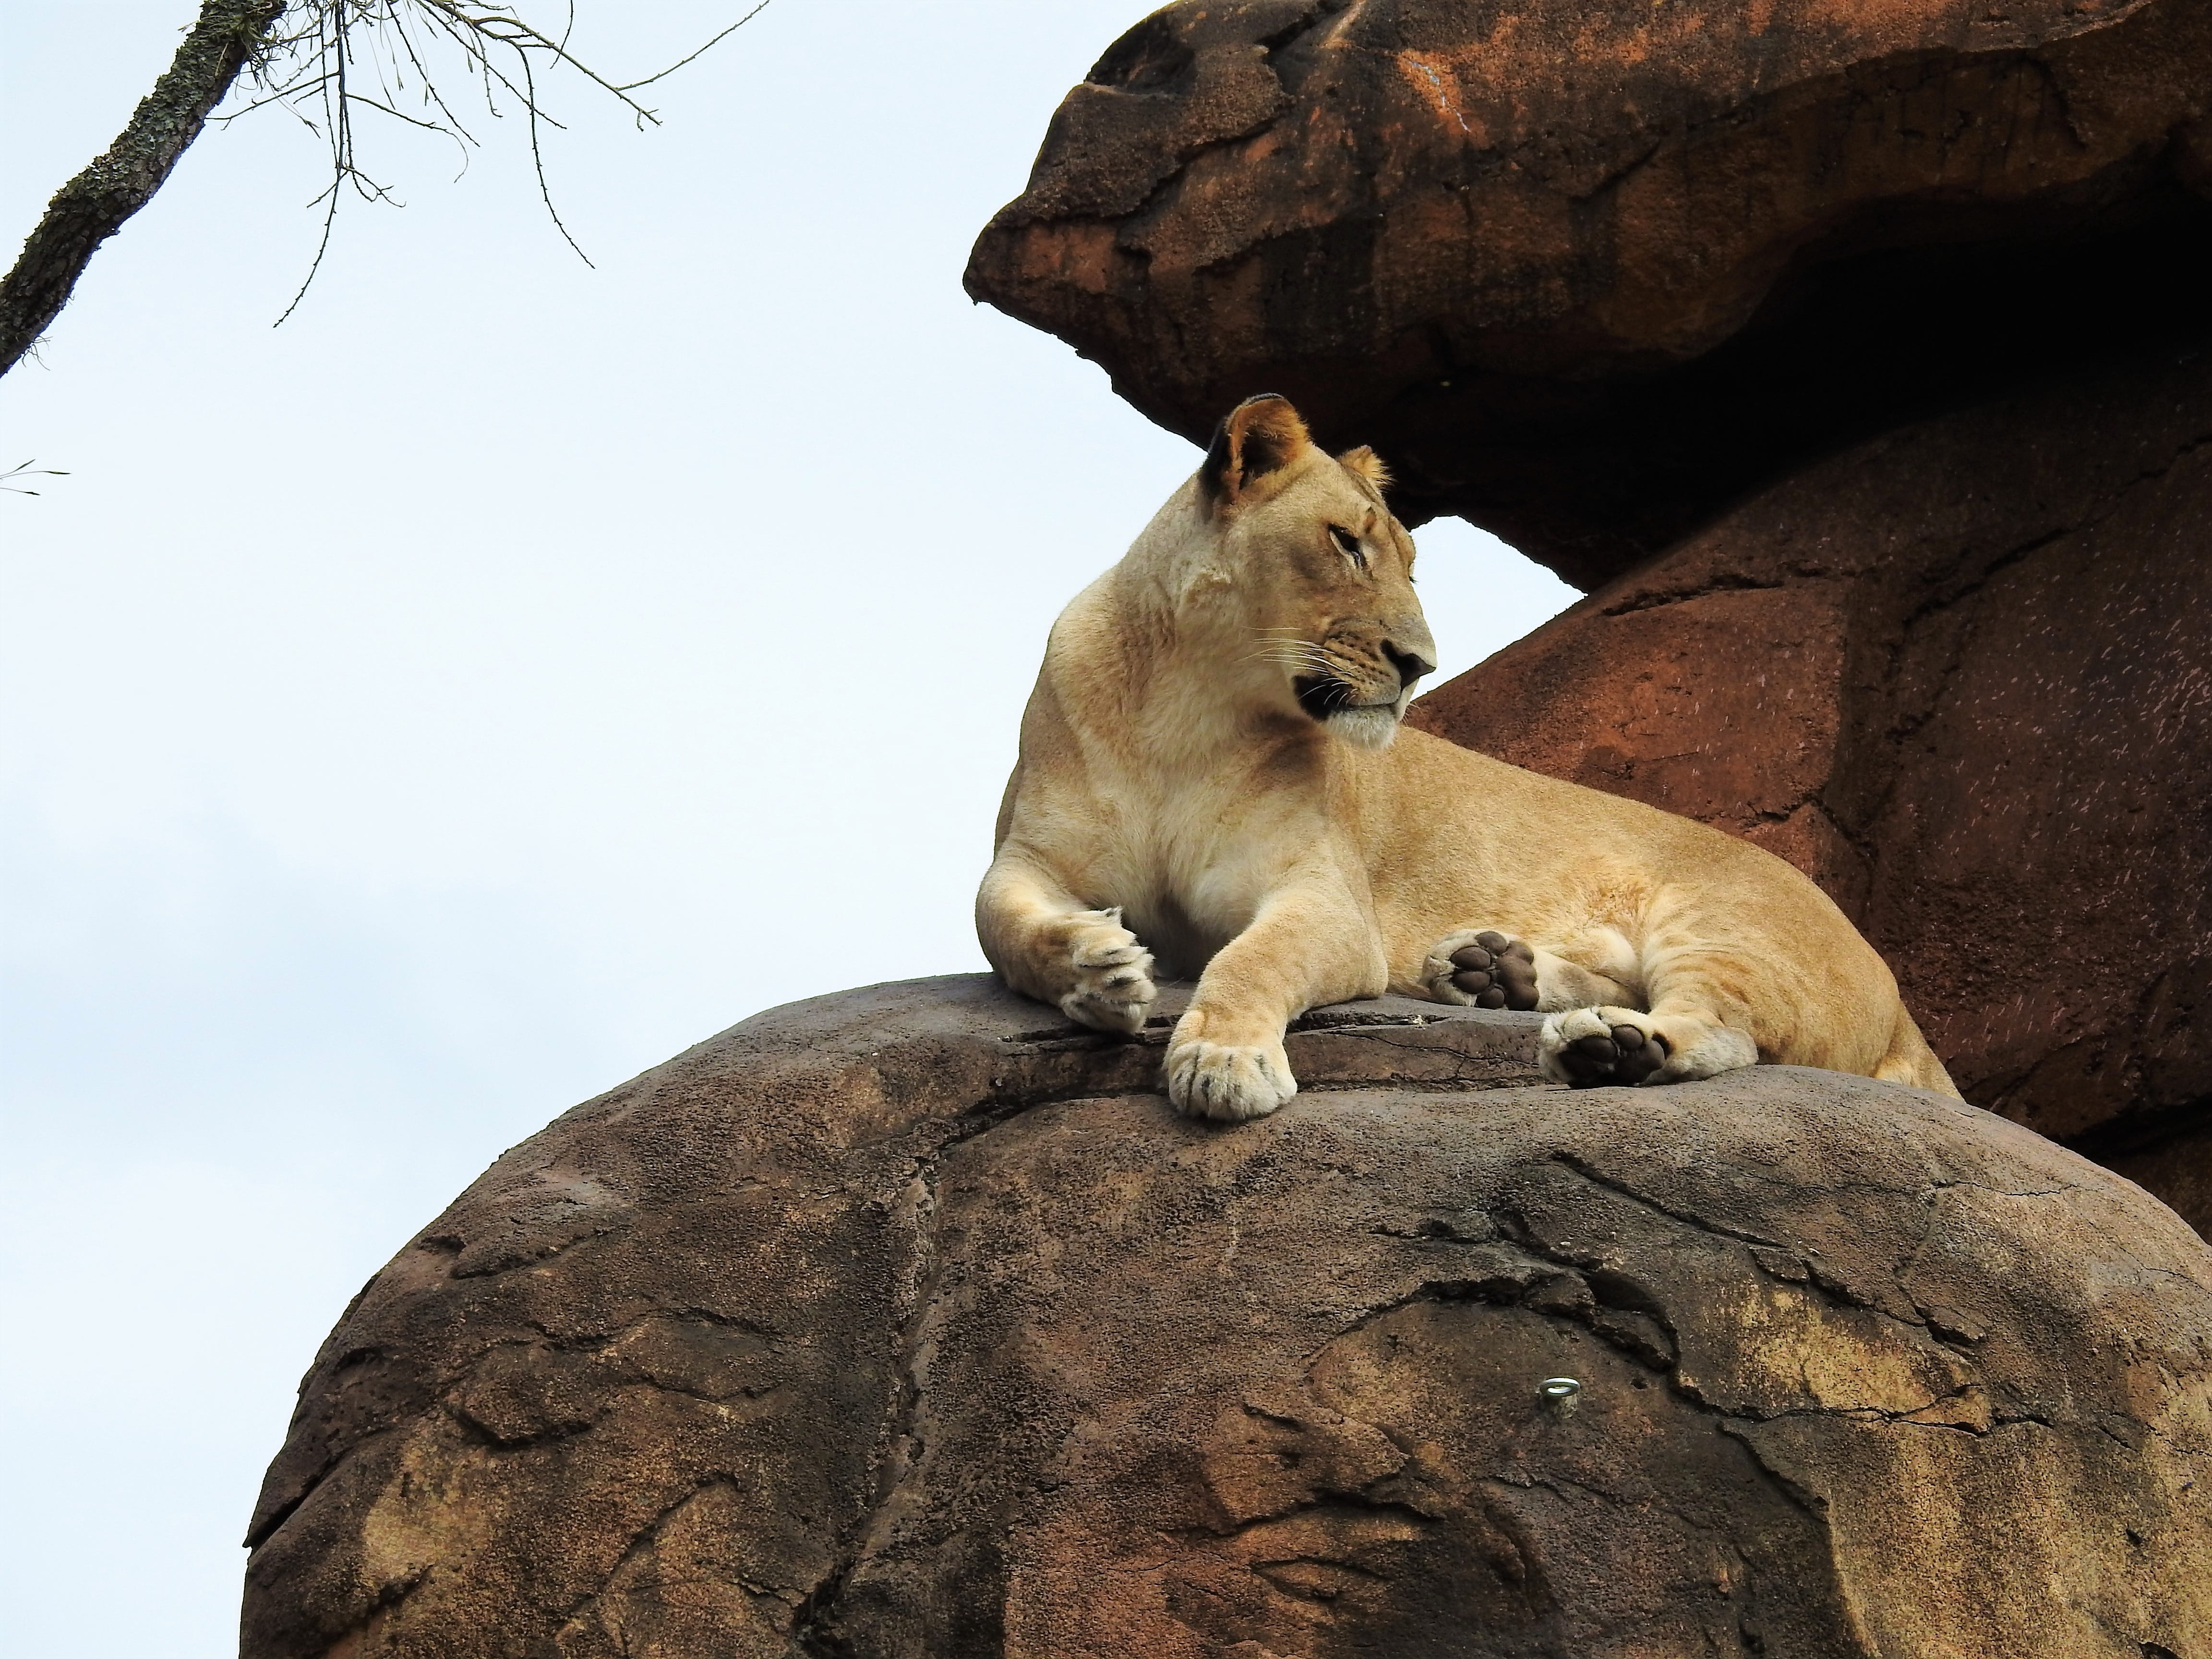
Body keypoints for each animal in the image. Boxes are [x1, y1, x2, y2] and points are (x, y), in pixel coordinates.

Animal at [977, 393, 1958, 1120]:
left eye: (1409, 561)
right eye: (1345, 542)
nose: (1420, 665)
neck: (1186, 708)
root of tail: (1902, 1006)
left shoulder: (1328, 902)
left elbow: (1249, 960)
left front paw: (1222, 1060)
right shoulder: (1028, 860)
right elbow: (1005, 928)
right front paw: (1097, 971)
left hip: (1725, 925)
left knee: (1721, 1027)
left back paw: (1609, 1047)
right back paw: (1490, 972)